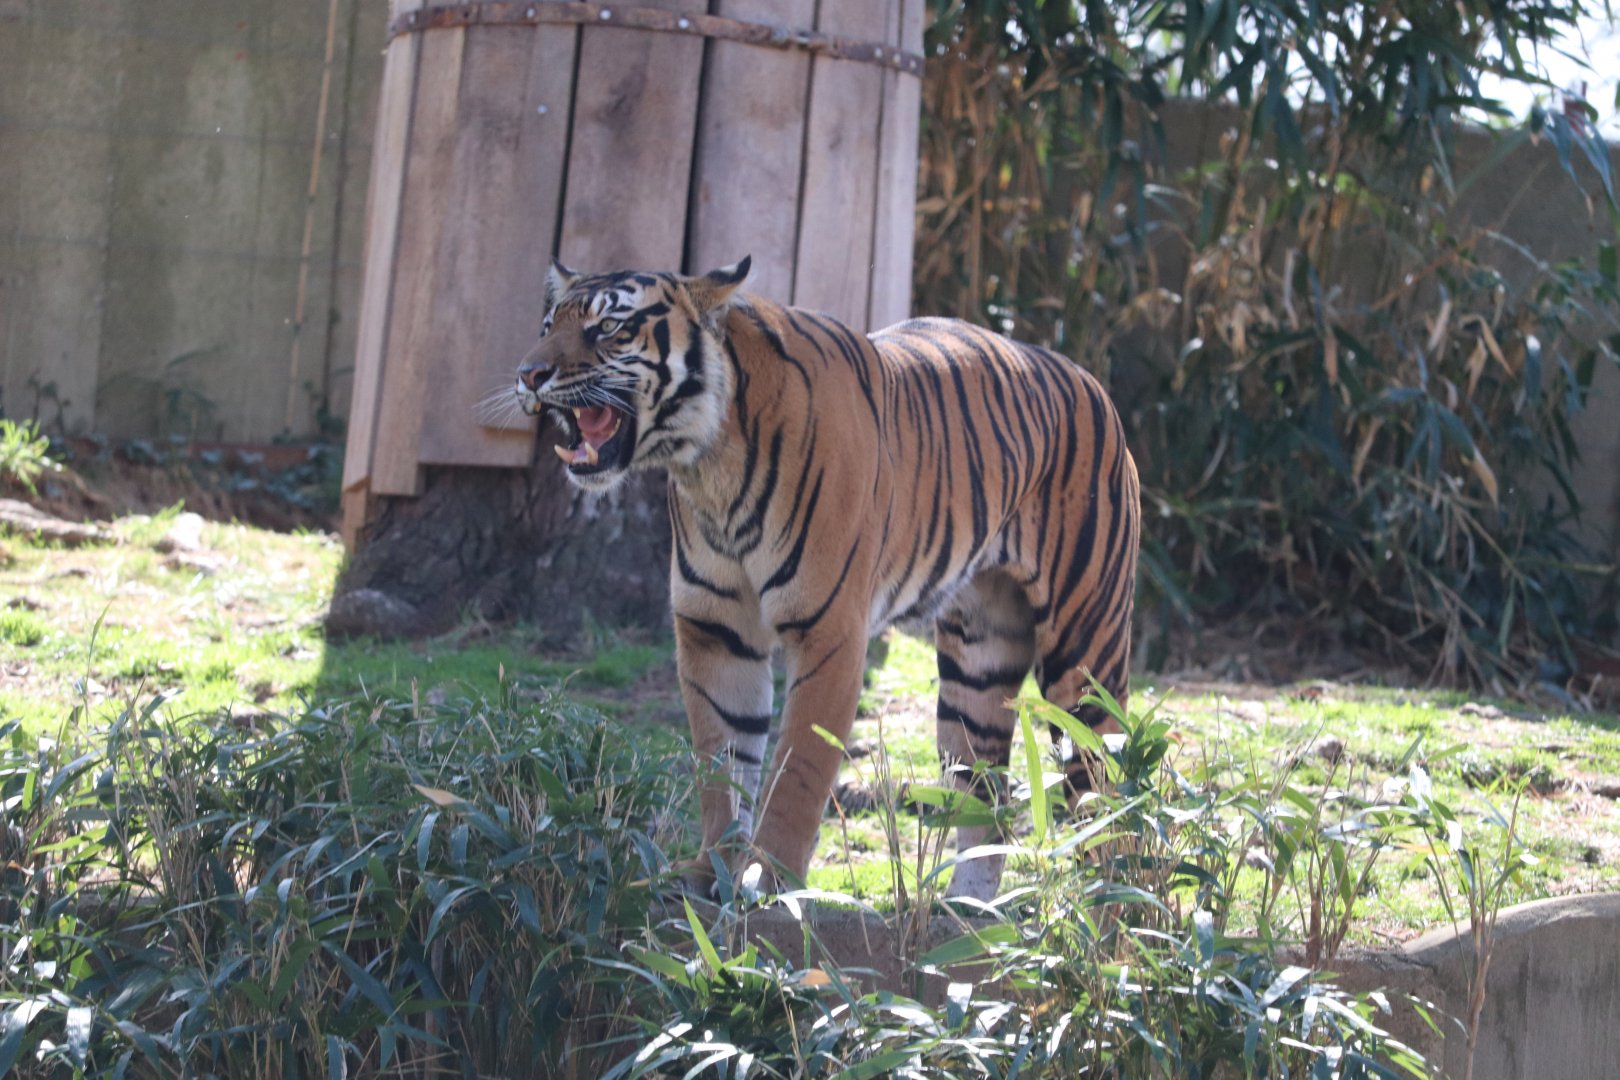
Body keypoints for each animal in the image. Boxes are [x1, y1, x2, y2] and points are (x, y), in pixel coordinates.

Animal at [513, 256, 1139, 902]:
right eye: (548, 325)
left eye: (609, 328)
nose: (528, 375)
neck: (707, 464)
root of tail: (1089, 382)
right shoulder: (716, 632)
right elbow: (721, 762)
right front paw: (710, 871)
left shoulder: (828, 631)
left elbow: (798, 770)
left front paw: (769, 878)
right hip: (979, 658)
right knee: (984, 795)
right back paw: (965, 911)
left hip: (1084, 649)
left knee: (1104, 781)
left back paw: (1108, 905)